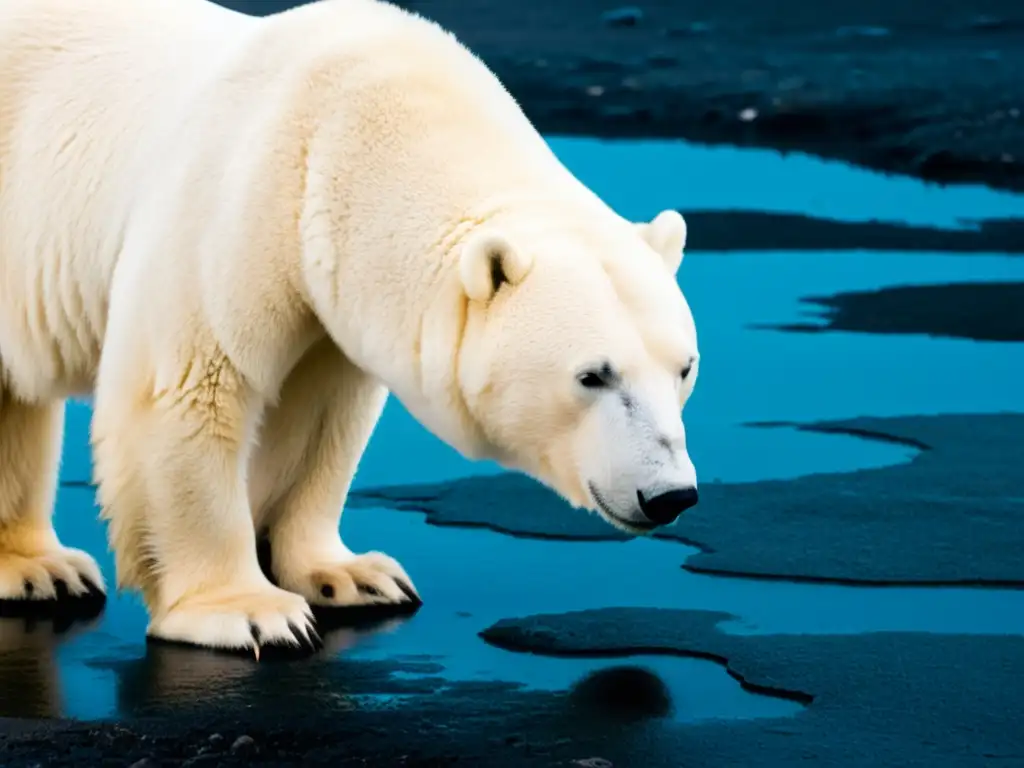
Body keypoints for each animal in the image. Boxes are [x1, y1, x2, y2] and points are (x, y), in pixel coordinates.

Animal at [0, 0, 696, 655]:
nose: (671, 495)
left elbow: (317, 416)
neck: (345, 131)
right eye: (592, 376)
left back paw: (40, 567)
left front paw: (349, 576)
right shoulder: (234, 206)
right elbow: (188, 389)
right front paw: (247, 611)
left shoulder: (324, 288)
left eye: (685, 369)